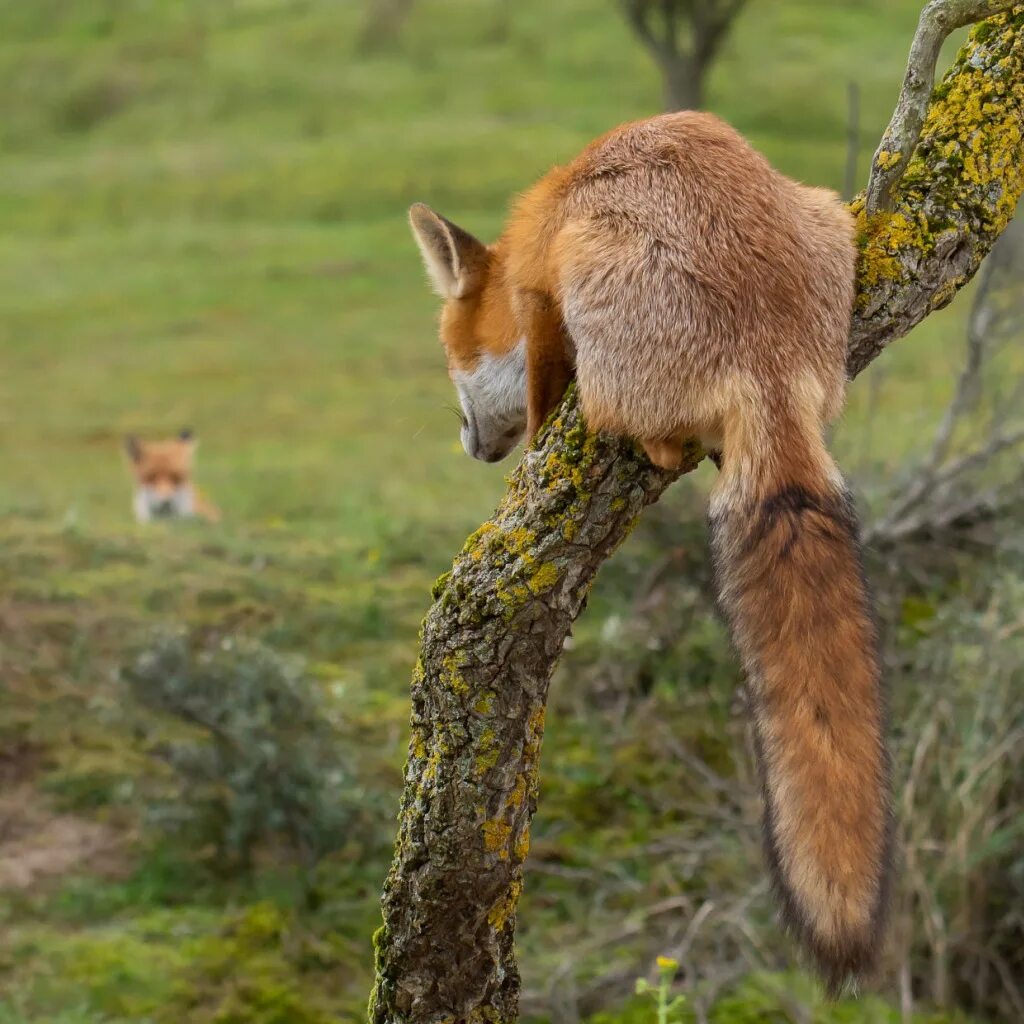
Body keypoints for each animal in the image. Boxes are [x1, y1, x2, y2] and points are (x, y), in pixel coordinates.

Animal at [407, 114, 888, 991]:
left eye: (451, 359)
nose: (468, 446)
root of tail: (765, 366)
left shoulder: (540, 297)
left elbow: (542, 386)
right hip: (827, 213)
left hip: (597, 266)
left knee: (637, 426)